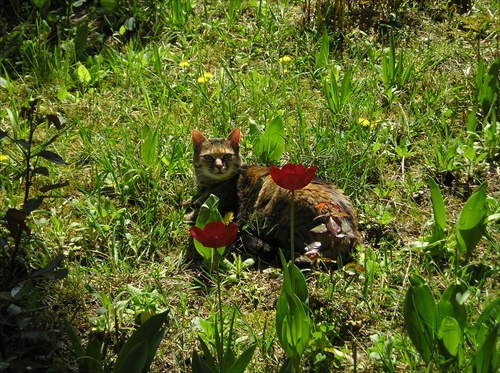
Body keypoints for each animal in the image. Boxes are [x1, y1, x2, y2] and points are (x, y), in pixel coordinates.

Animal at [184, 129, 360, 264]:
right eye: (208, 157)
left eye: (227, 156)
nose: (219, 166)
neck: (211, 185)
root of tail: (350, 233)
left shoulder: (221, 208)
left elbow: (195, 214)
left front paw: (184, 216)